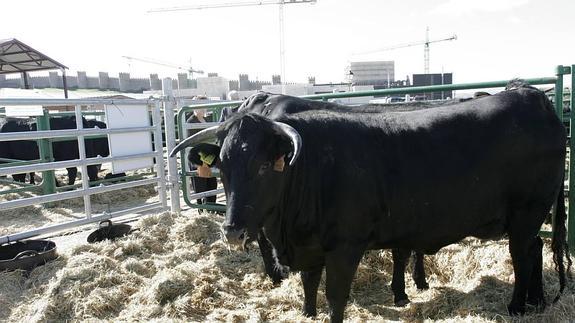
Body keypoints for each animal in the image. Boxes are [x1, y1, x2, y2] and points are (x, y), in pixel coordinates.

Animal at [171, 81, 572, 322]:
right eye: (222, 165)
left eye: (264, 165)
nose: (233, 232)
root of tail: (530, 95)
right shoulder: (310, 247)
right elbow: (310, 286)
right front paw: (307, 313)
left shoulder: (345, 246)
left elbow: (335, 296)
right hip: (528, 216)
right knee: (535, 249)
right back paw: (536, 301)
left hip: (527, 212)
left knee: (522, 255)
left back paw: (517, 306)